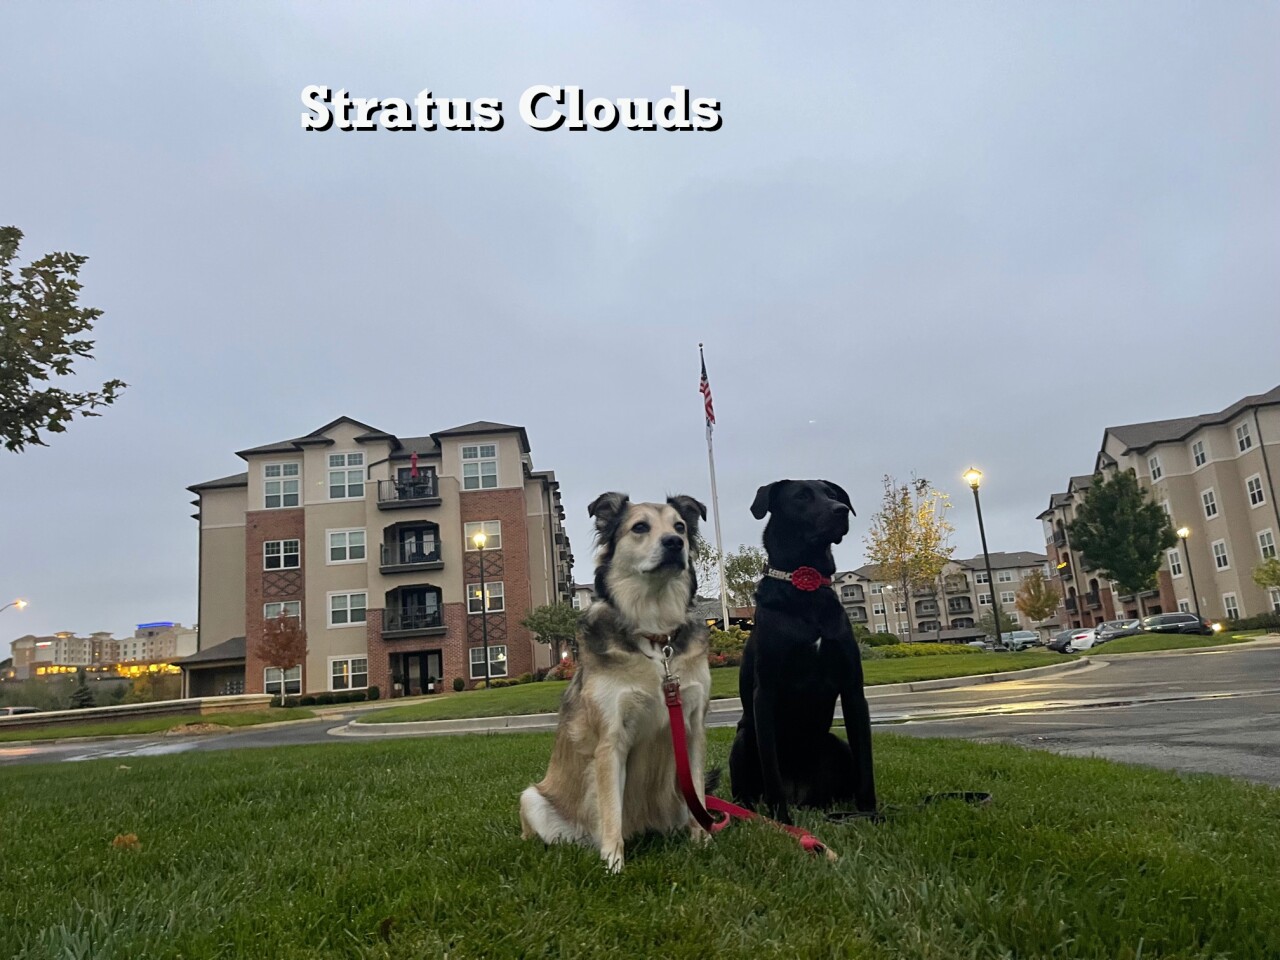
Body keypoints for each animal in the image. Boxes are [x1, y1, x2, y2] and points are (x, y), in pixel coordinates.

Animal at [517, 491, 716, 875]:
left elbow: (698, 794)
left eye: (680, 527)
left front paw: (704, 842)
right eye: (640, 527)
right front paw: (613, 862)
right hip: (532, 797)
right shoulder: (610, 739)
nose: (674, 543)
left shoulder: (693, 728)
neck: (655, 636)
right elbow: (610, 808)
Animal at [732, 478, 880, 824]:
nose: (841, 510)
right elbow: (771, 768)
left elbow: (865, 760)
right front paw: (781, 823)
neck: (805, 589)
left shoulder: (853, 689)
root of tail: (800, 795)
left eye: (832, 495)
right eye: (801, 496)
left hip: (835, 744)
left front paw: (871, 813)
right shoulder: (765, 692)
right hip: (743, 737)